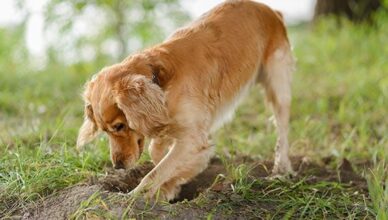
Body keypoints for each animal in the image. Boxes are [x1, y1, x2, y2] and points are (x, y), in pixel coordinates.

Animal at [76, 0, 294, 201]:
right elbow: (158, 154)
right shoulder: (167, 121)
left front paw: (135, 197)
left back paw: (281, 169)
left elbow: (155, 172)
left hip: (278, 85)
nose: (118, 166)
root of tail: (270, 10)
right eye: (104, 131)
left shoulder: (192, 137)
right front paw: (171, 186)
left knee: (283, 131)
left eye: (120, 126)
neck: (160, 81)